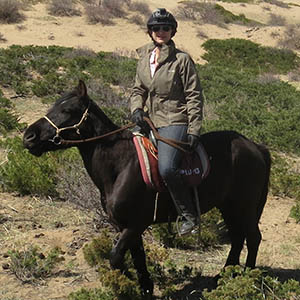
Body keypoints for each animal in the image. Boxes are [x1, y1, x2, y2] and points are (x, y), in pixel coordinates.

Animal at [23, 79, 270, 298]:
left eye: (67, 110)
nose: (28, 137)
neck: (120, 164)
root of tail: (255, 146)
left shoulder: (135, 225)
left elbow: (116, 257)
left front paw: (125, 286)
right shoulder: (126, 226)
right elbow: (138, 258)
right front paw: (145, 288)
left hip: (244, 206)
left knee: (252, 237)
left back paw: (249, 277)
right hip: (228, 206)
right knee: (238, 238)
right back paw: (225, 276)